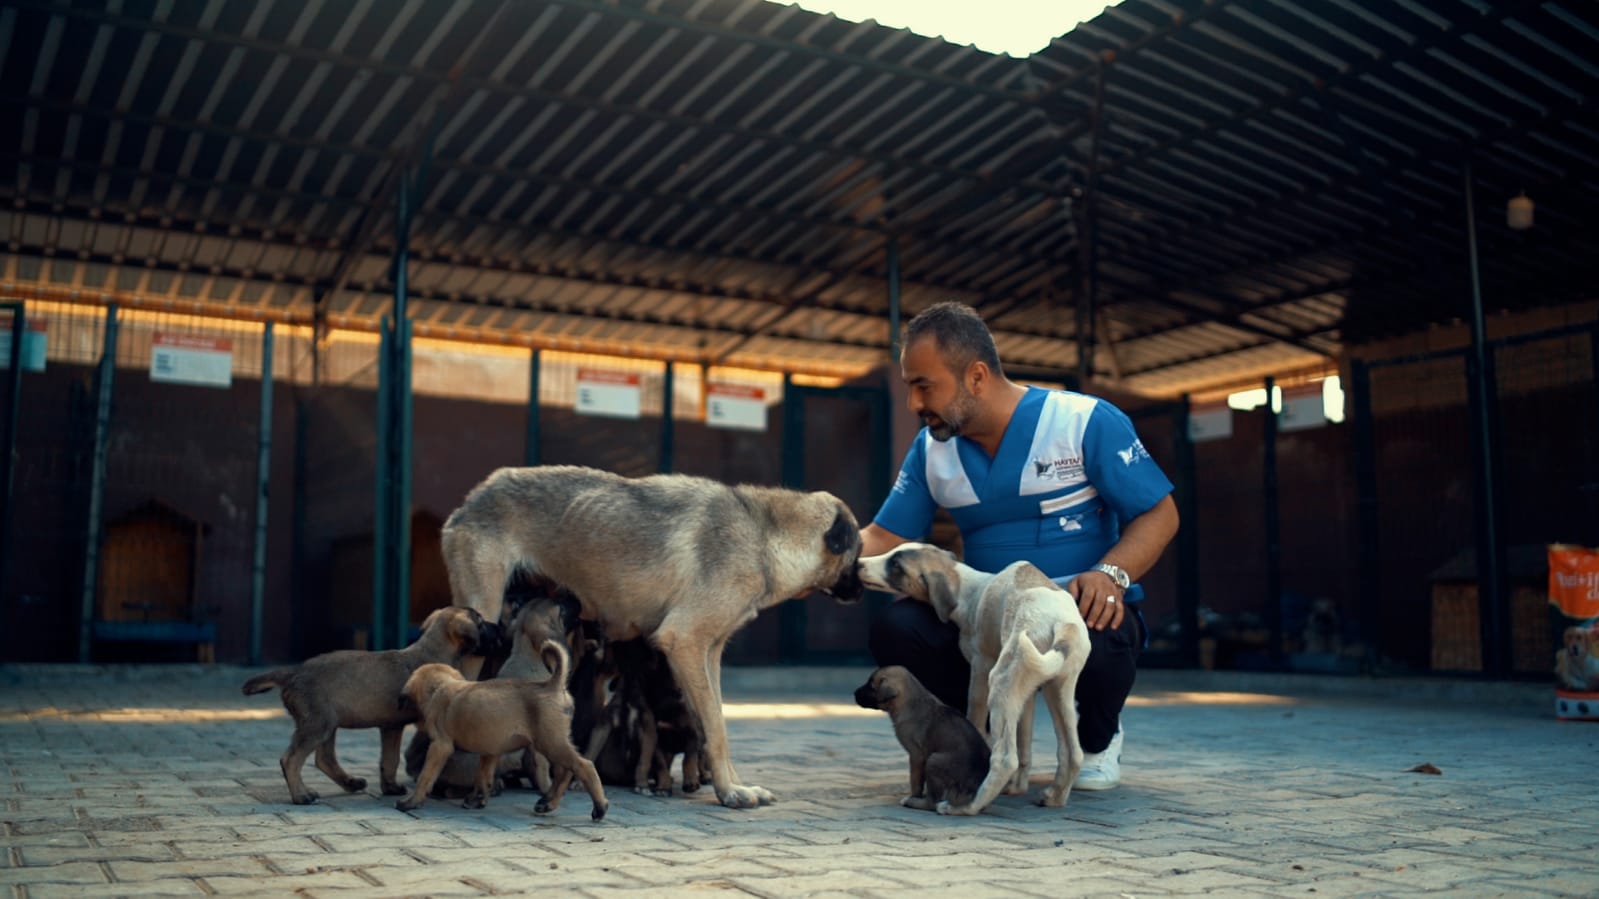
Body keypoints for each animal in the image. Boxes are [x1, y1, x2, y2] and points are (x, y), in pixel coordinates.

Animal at [236, 604, 495, 799]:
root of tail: (293, 673)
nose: (500, 630)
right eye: (481, 624)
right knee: (291, 759)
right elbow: (392, 759)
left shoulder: (391, 727)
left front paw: (390, 788)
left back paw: (350, 783)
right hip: (318, 724)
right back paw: (302, 795)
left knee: (324, 759)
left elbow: (389, 761)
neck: (430, 650)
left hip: (328, 724)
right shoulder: (397, 726)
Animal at [396, 636, 607, 819]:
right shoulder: (490, 751)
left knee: (583, 765)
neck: (440, 687)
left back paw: (599, 807)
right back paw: (547, 802)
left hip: (550, 742)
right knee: (565, 770)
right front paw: (477, 800)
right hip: (553, 742)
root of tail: (552, 685)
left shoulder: (440, 746)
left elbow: (425, 776)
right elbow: (483, 777)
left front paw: (412, 802)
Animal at [438, 460, 863, 806]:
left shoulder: (709, 654)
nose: (863, 588)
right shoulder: (686, 641)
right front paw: (728, 792)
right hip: (483, 621)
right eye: (857, 555)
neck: (764, 537)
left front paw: (733, 784)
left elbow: (716, 723)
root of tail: (474, 498)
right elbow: (716, 728)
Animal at [857, 662, 991, 809]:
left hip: (933, 760)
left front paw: (913, 796)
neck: (909, 702)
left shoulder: (916, 755)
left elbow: (915, 781)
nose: (854, 693)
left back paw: (913, 802)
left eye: (871, 686)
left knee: (932, 802)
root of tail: (972, 790)